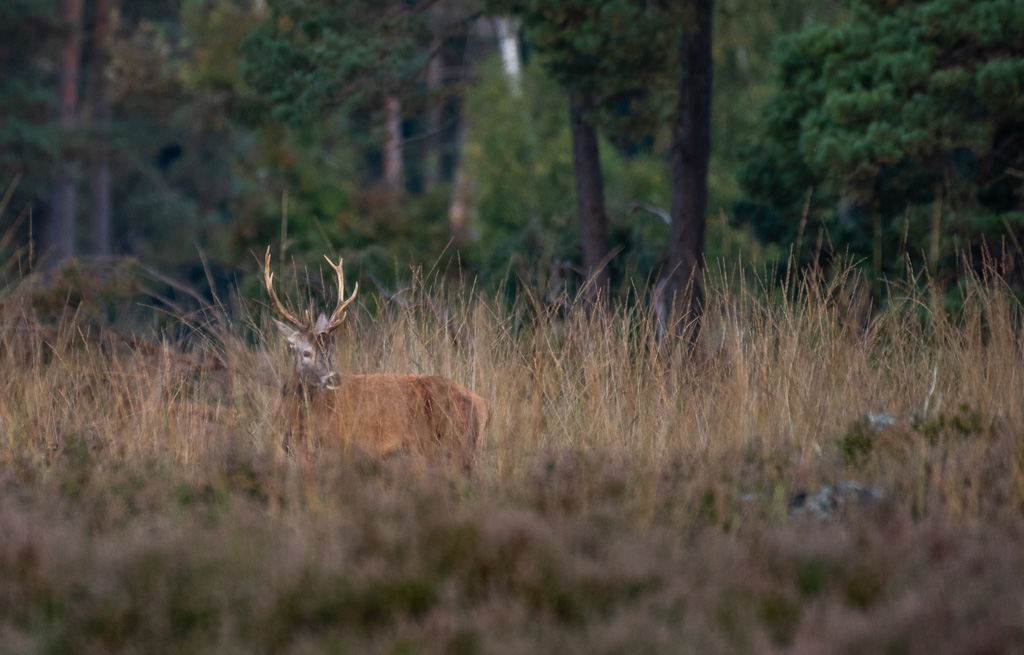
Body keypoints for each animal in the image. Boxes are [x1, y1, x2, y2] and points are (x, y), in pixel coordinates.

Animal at [264, 248, 489, 474]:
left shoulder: (339, 444)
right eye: (306, 352)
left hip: (456, 444)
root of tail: (484, 404)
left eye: (331, 350)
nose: (334, 378)